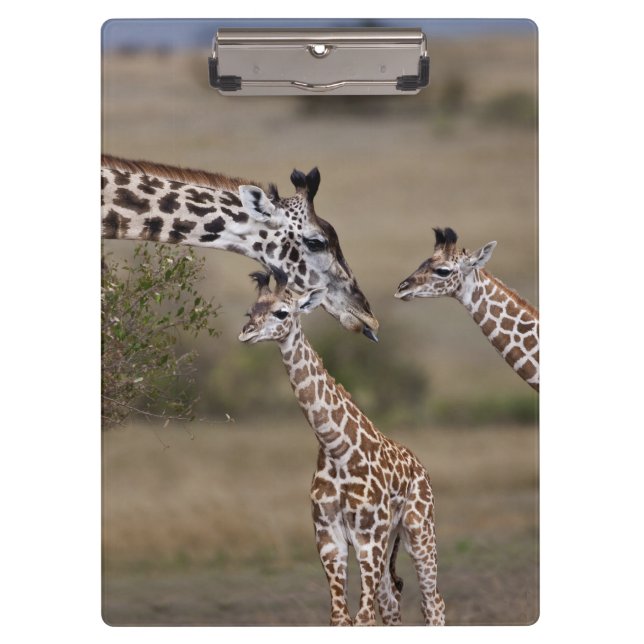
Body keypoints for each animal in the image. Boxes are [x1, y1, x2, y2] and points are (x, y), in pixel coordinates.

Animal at [238, 269, 445, 627]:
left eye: (282, 312)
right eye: (251, 311)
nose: (246, 333)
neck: (337, 448)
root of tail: (420, 465)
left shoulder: (369, 539)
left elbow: (363, 618)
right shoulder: (328, 538)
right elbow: (341, 617)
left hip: (419, 529)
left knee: (433, 603)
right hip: (392, 539)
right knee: (391, 602)